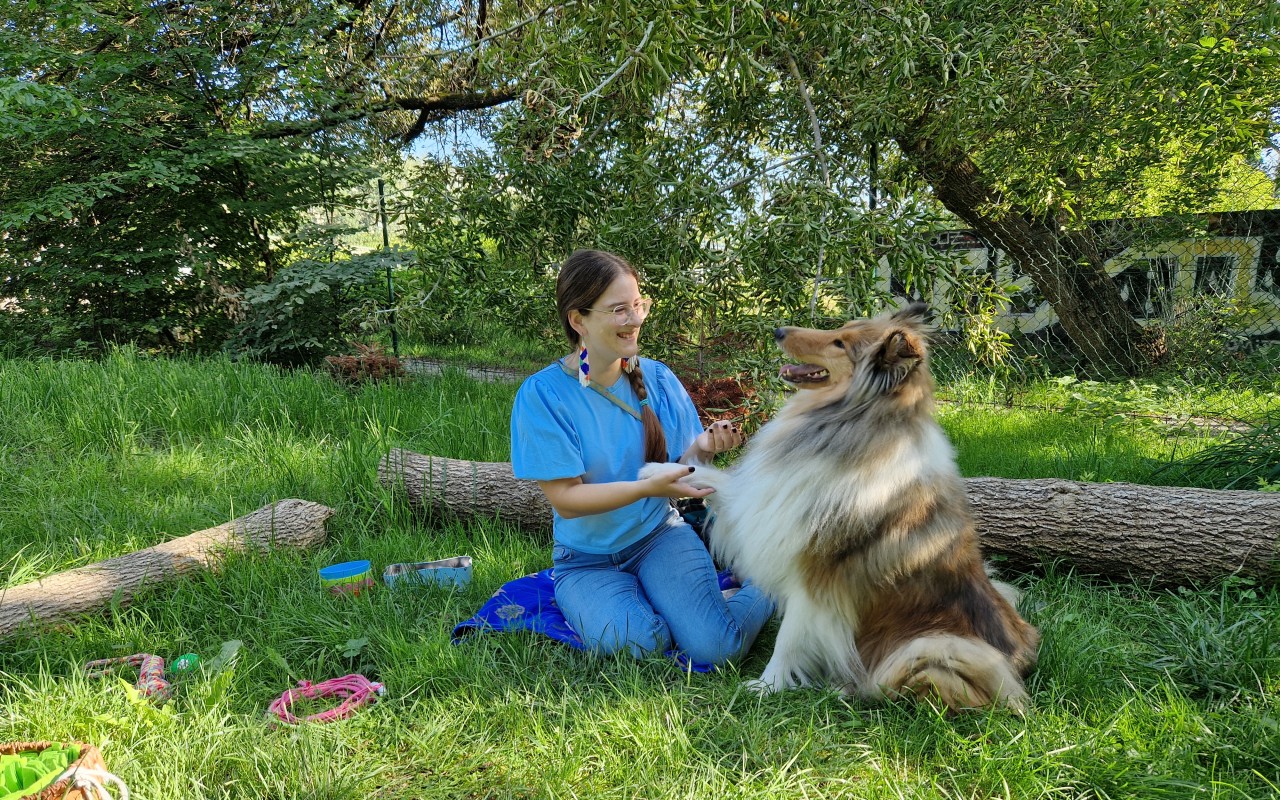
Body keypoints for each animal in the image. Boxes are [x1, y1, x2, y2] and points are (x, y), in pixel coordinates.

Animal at [650, 300, 1039, 711]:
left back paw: (842, 688)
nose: (778, 331)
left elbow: (788, 639)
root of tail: (1022, 658)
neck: (846, 422)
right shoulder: (765, 500)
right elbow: (715, 479)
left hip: (938, 648)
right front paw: (655, 470)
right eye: (840, 329)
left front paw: (767, 686)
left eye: (840, 344)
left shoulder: (815, 577)